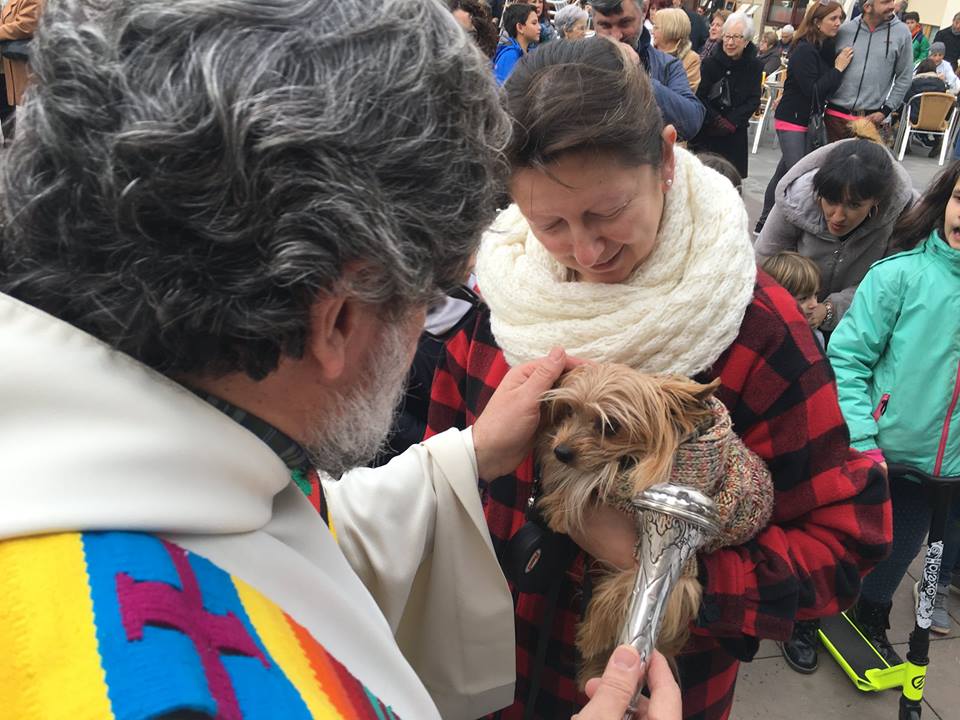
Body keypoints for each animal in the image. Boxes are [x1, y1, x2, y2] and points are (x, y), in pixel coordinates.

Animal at [536, 362, 776, 684]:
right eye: (569, 410)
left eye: (611, 426)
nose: (560, 452)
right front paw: (560, 507)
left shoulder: (679, 566)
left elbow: (628, 587)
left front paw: (594, 638)